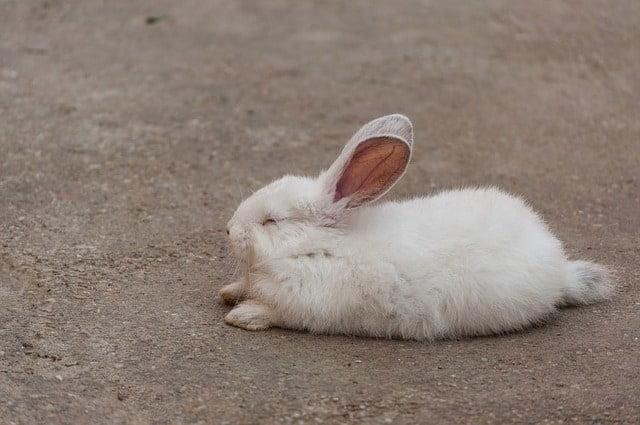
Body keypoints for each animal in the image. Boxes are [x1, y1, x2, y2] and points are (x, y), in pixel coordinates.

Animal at [219, 114, 614, 340]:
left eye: (272, 220)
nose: (228, 229)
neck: (315, 246)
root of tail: (561, 269)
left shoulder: (304, 306)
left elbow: (273, 313)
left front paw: (242, 315)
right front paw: (227, 292)